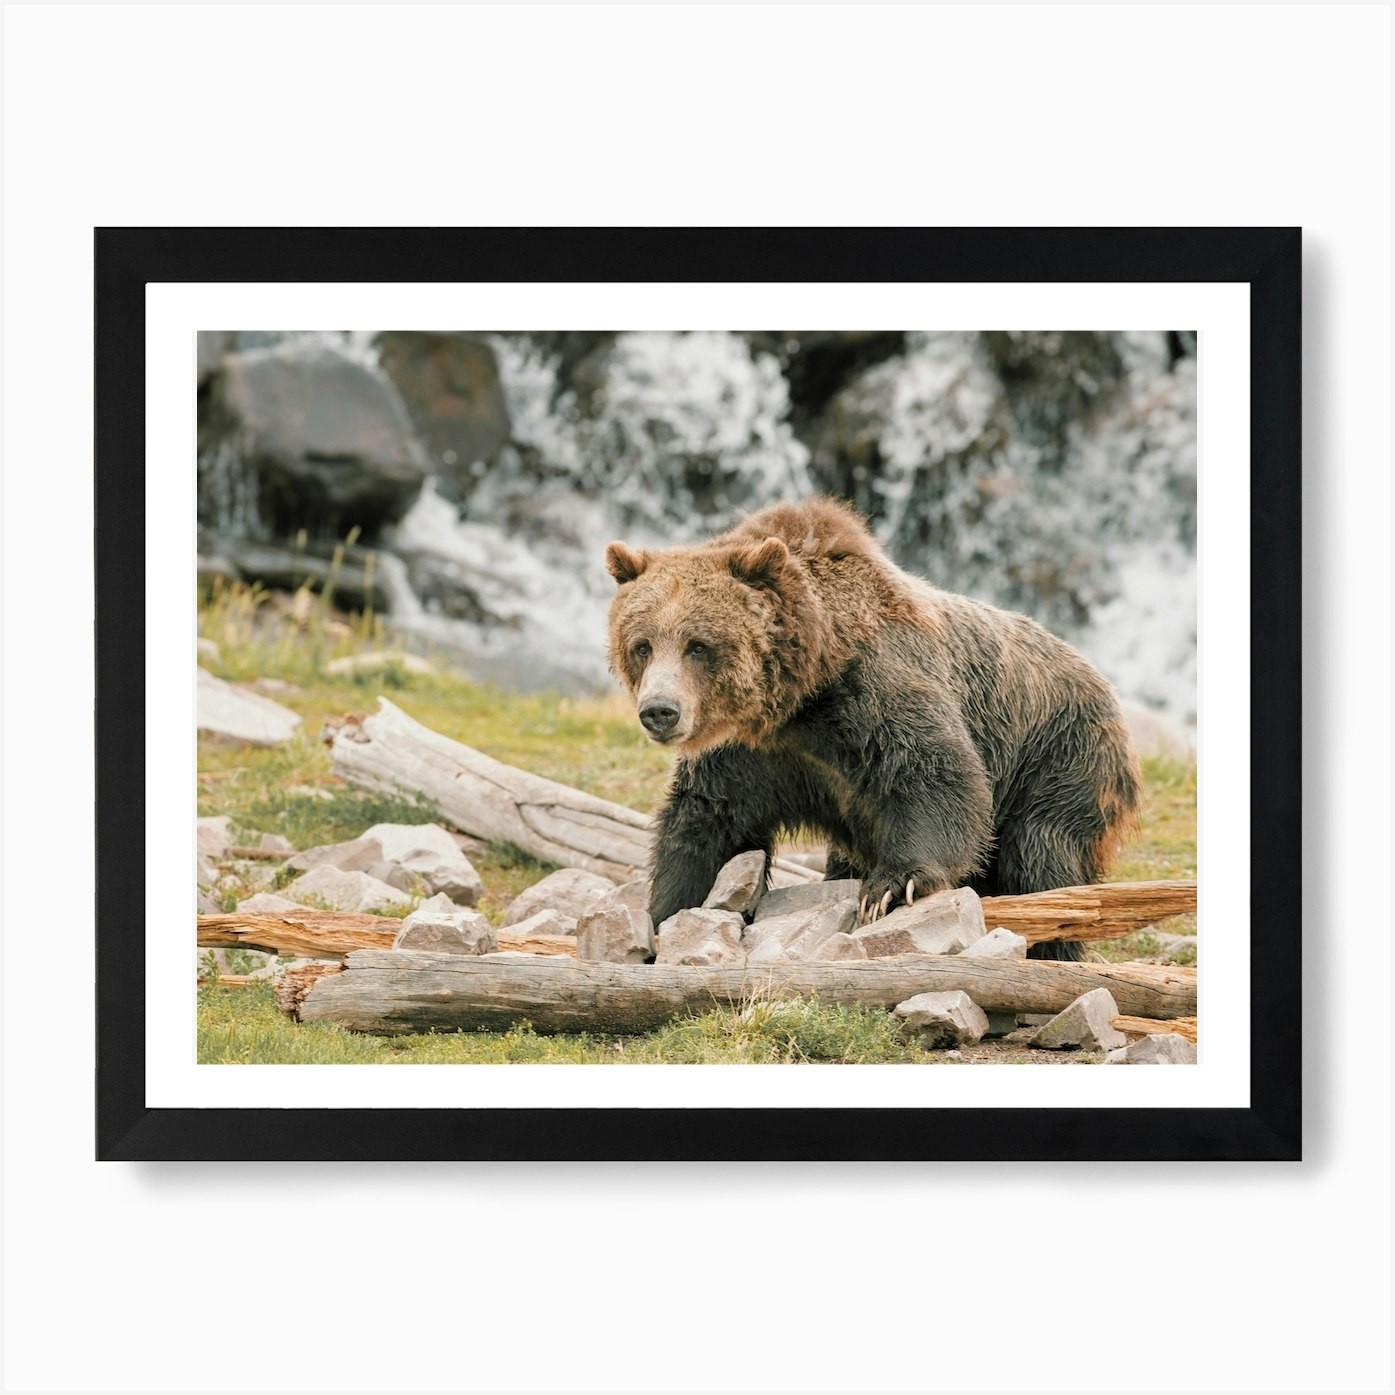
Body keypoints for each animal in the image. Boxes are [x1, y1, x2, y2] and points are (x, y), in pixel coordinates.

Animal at [604, 496, 1141, 960]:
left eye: (699, 645)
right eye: (642, 644)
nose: (660, 711)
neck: (801, 698)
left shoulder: (873, 693)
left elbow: (935, 773)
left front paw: (890, 888)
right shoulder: (752, 754)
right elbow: (708, 822)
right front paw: (665, 914)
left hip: (1059, 757)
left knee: (1043, 857)